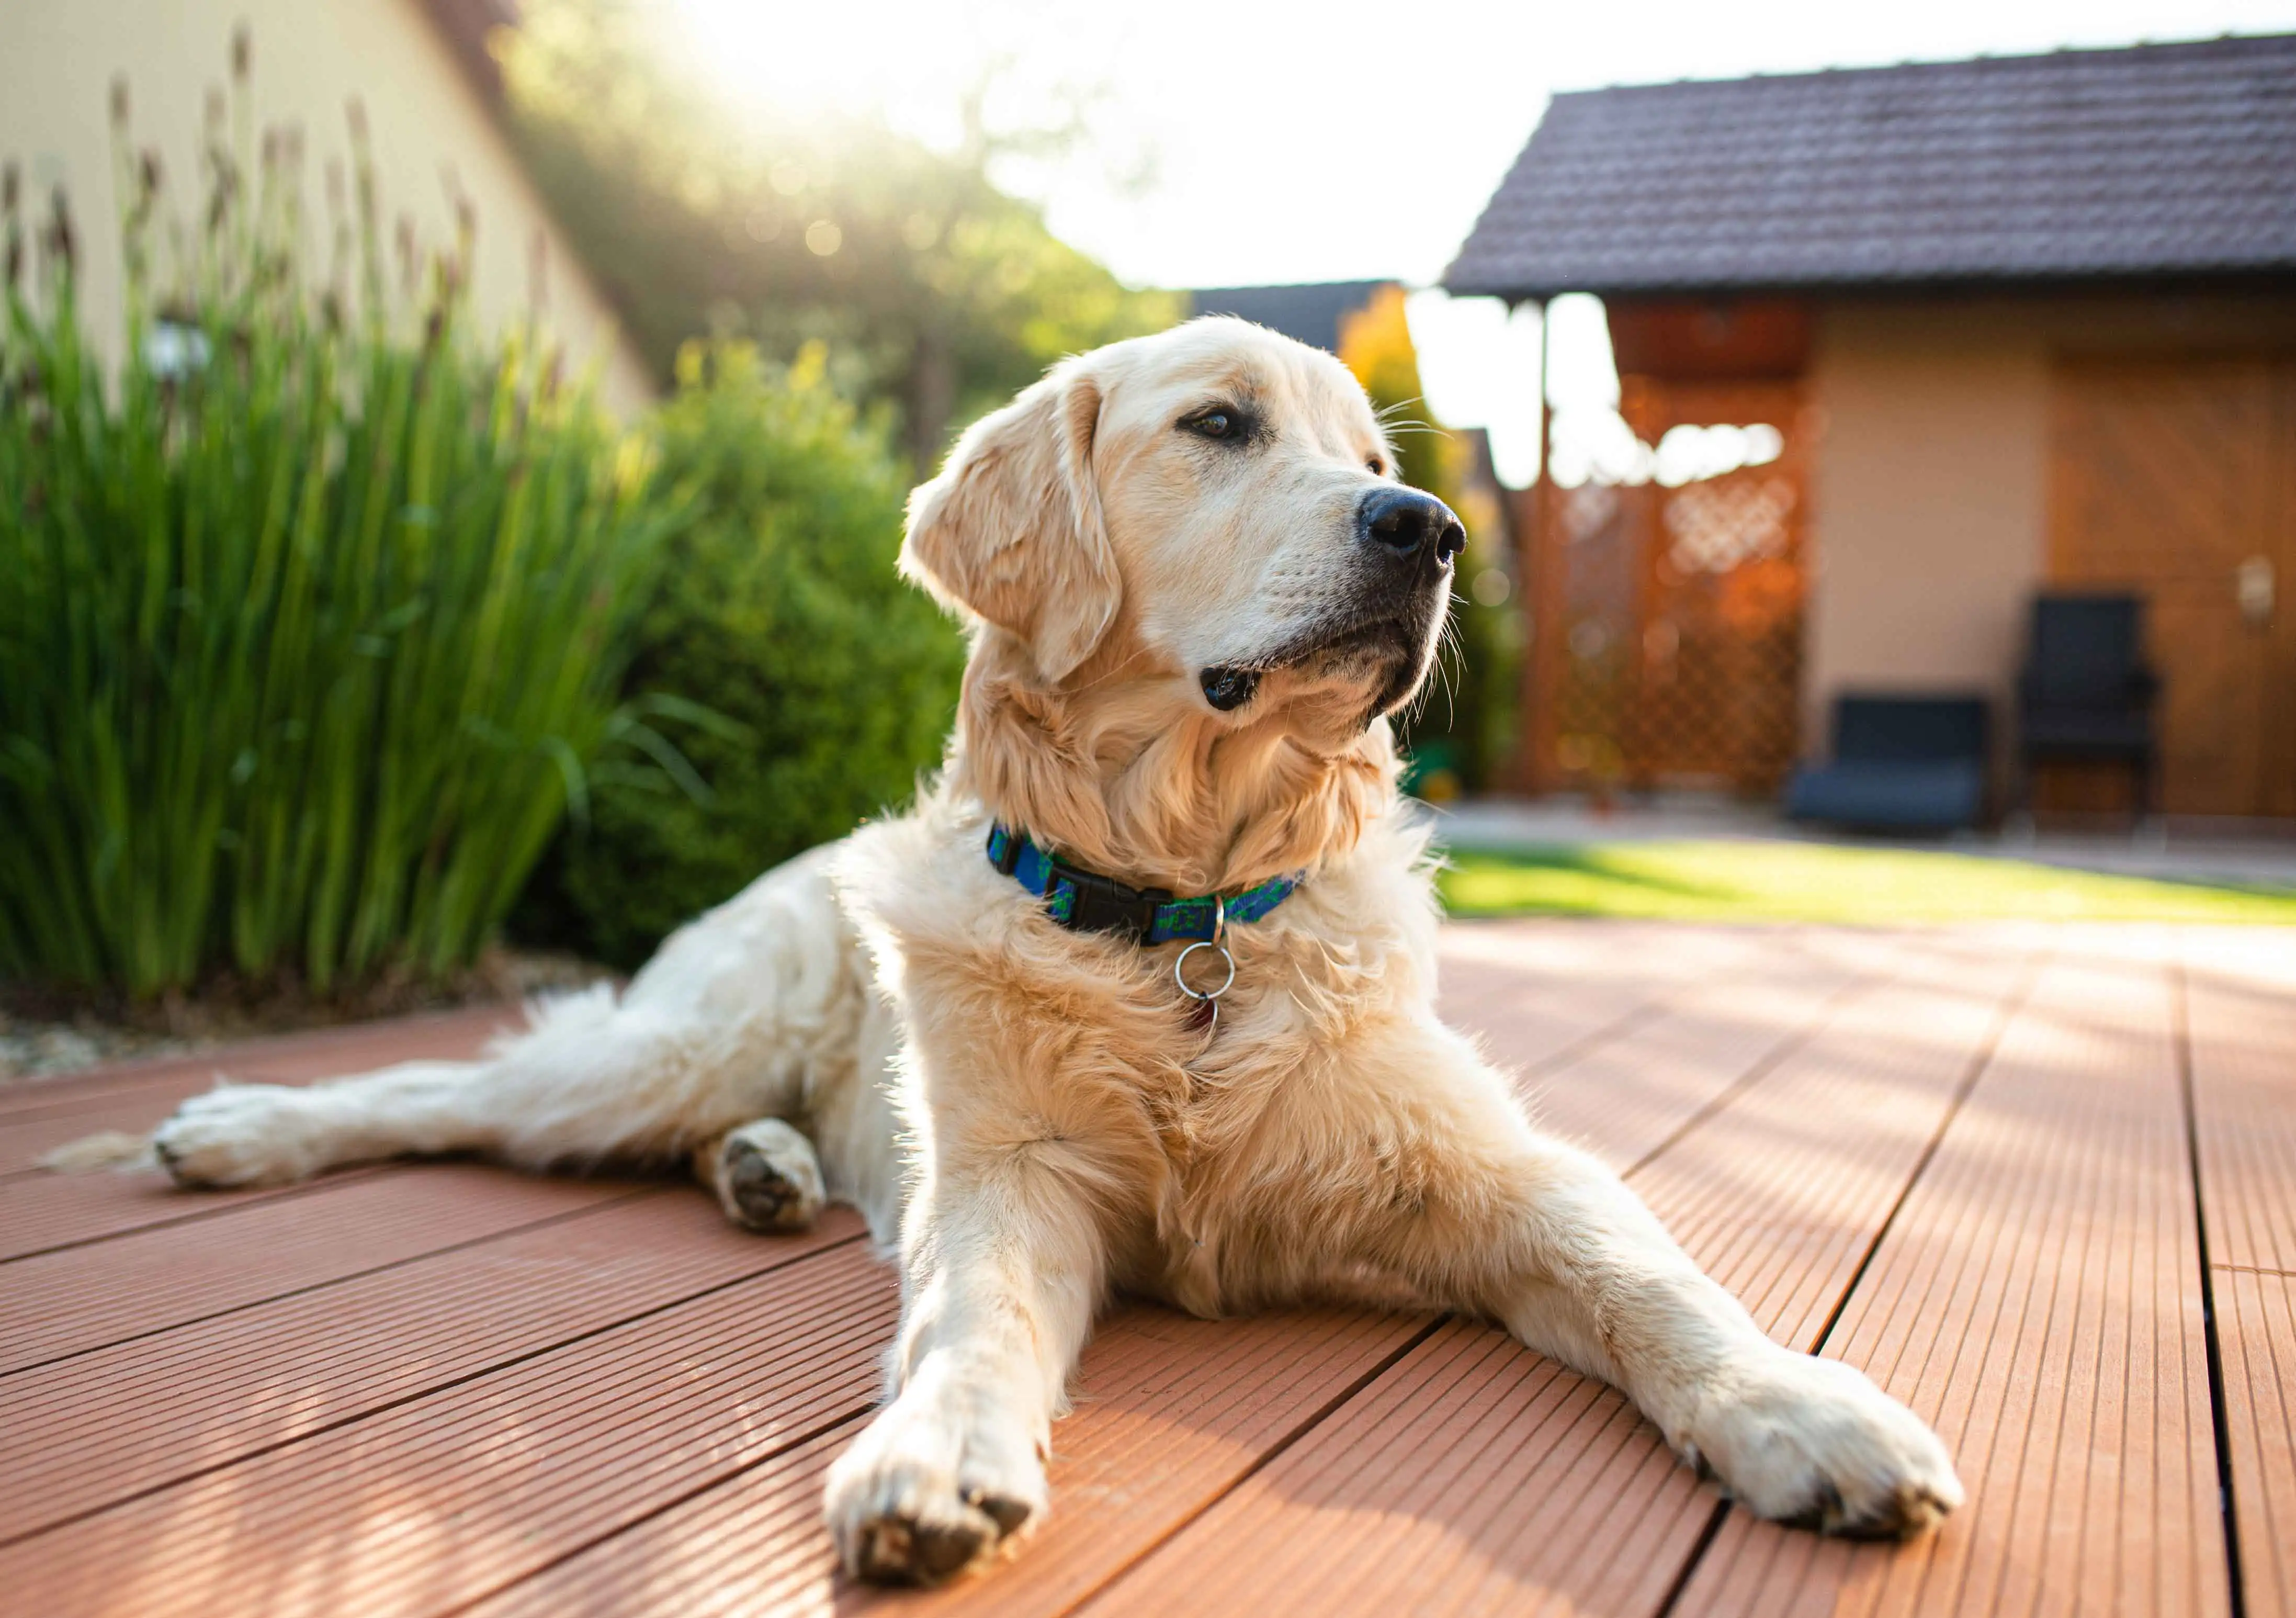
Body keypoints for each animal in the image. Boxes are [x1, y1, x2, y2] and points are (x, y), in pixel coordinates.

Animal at [134, 317, 1956, 1581]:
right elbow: (974, 1312)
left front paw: (1806, 1411)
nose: (1427, 528)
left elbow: (1650, 1278)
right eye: (1216, 426)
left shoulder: (1493, 1168)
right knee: (446, 1084)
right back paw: (239, 1127)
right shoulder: (1009, 1175)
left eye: (1363, 445)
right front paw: (936, 1457)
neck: (1184, 918)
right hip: (669, 1046)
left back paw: (764, 1173)